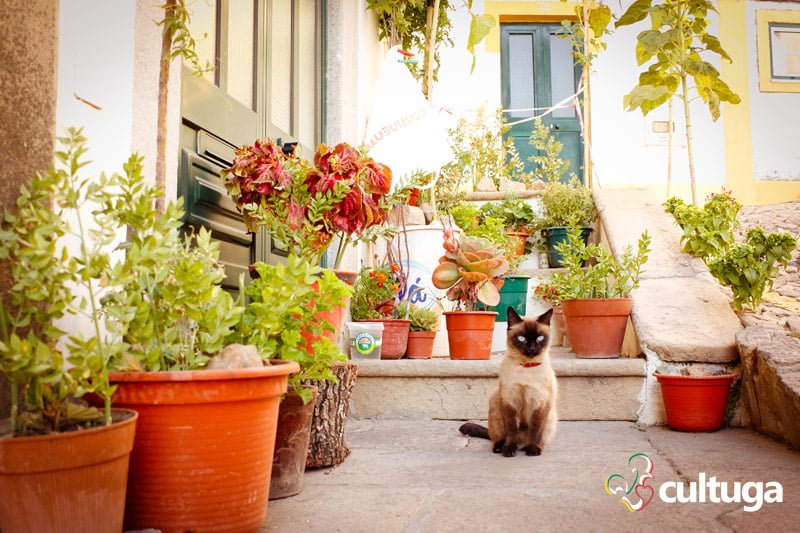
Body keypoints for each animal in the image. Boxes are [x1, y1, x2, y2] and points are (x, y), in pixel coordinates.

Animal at [460, 308, 560, 458]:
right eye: (521, 338)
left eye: (540, 338)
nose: (532, 348)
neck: (526, 367)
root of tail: (522, 442)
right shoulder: (510, 401)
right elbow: (512, 430)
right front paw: (509, 450)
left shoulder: (539, 403)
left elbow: (536, 430)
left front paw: (533, 450)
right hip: (495, 400)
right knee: (500, 438)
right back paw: (500, 447)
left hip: (551, 417)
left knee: (538, 439)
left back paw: (530, 448)